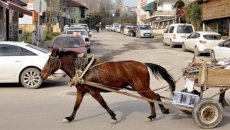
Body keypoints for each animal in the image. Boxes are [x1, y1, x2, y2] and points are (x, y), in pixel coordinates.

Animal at [40, 48, 175, 123]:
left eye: (50, 60)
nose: (41, 74)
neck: (83, 69)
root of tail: (143, 64)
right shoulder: (81, 91)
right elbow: (76, 106)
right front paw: (69, 118)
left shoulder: (93, 91)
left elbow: (103, 104)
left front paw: (113, 117)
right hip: (140, 88)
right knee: (152, 98)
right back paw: (153, 115)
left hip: (141, 87)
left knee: (155, 96)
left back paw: (160, 112)